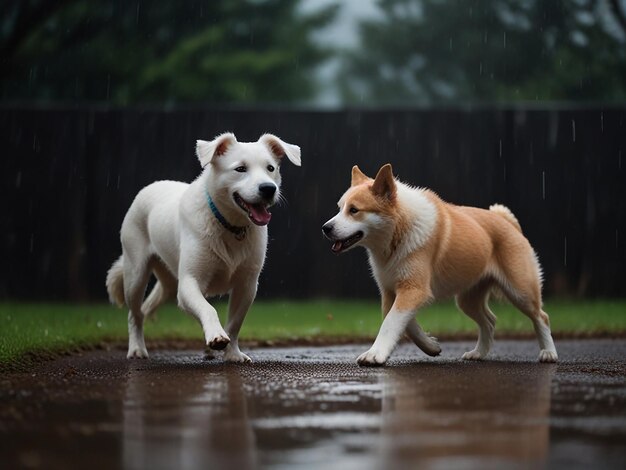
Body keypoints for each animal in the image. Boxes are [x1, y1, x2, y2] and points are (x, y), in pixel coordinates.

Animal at [106, 132, 302, 360]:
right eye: (240, 169)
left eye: (270, 168)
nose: (269, 188)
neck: (229, 225)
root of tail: (150, 187)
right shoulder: (189, 282)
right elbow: (209, 309)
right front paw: (217, 337)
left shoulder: (247, 285)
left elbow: (234, 324)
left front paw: (232, 354)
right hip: (135, 274)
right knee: (135, 314)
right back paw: (137, 348)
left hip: (169, 283)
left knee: (146, 308)